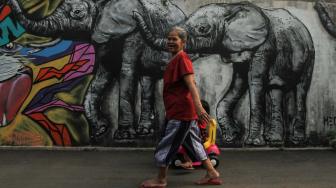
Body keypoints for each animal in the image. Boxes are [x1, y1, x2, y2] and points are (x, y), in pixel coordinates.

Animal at [6, 0, 186, 142]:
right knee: (147, 78)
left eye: (77, 13)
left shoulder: (134, 29)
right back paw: (145, 132)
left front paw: (123, 136)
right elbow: (102, 76)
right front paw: (100, 130)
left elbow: (126, 70)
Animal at [135, 1, 316, 146]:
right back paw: (275, 140)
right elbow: (239, 82)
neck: (230, 7)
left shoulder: (265, 46)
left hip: (310, 55)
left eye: (203, 29)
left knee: (302, 89)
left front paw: (252, 143)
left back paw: (296, 141)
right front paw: (231, 137)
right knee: (275, 90)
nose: (135, 13)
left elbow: (254, 81)